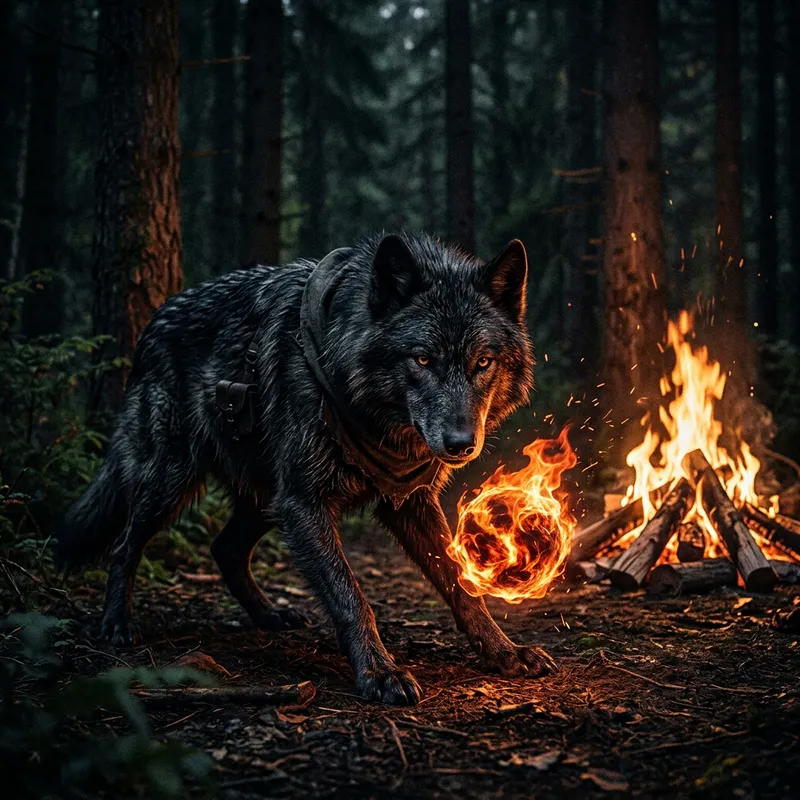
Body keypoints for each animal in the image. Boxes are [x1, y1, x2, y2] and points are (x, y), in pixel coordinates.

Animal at [57, 232, 555, 704]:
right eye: (422, 359)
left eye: (483, 362)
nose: (460, 443)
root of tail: (154, 321)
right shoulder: (304, 503)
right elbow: (352, 596)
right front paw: (380, 672)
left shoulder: (407, 501)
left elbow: (462, 585)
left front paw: (505, 651)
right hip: (174, 483)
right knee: (124, 545)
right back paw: (116, 624)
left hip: (264, 499)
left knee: (224, 548)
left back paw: (269, 615)